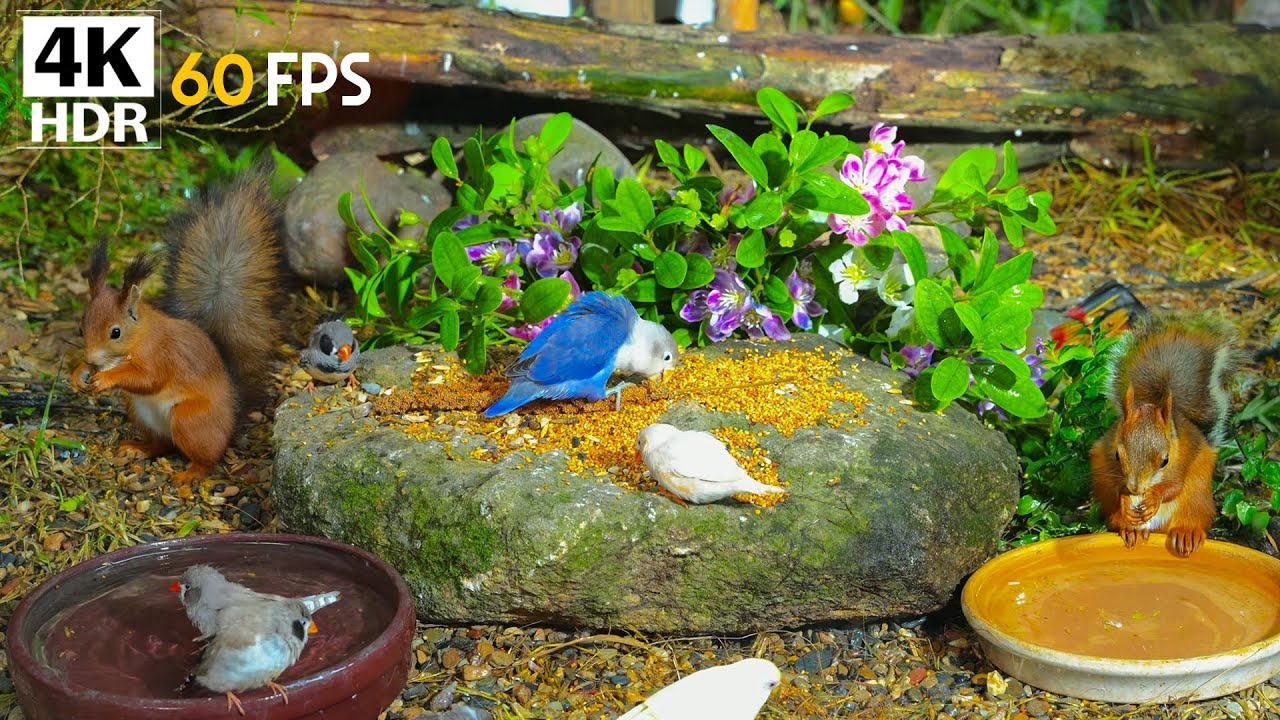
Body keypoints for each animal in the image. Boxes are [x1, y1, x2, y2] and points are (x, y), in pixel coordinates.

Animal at [73, 172, 286, 497]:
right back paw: (139, 448)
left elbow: (150, 379)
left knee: (207, 457)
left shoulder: (163, 355)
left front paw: (107, 378)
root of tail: (233, 417)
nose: (92, 359)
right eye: (82, 327)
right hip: (140, 412)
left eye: (115, 332)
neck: (140, 336)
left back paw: (190, 473)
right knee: (163, 444)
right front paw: (80, 373)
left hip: (188, 419)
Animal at [1090, 314, 1242, 557]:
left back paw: (1186, 533)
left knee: (1191, 518)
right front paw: (1125, 498)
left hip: (1196, 500)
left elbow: (1174, 486)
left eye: (1165, 460)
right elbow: (1115, 487)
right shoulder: (1105, 454)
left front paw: (1154, 498)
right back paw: (1130, 529)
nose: (1136, 489)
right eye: (1117, 455)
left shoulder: (1184, 457)